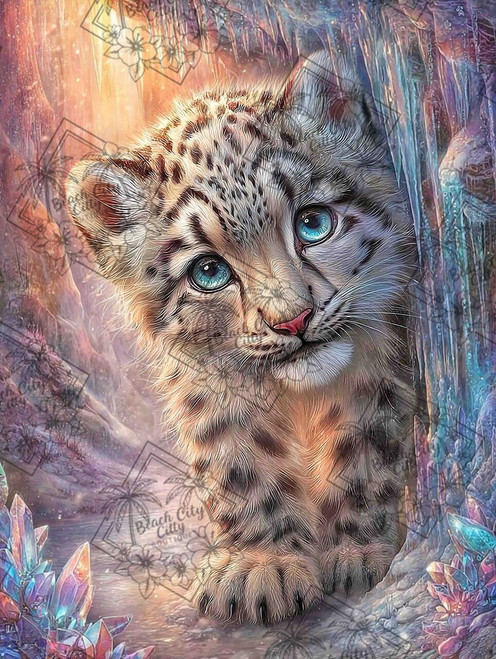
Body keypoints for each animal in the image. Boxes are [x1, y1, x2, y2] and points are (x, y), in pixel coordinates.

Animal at [66, 51, 416, 624]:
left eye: (313, 223)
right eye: (208, 272)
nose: (293, 320)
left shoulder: (379, 360)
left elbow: (365, 445)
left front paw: (357, 552)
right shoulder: (209, 386)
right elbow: (241, 461)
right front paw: (262, 567)